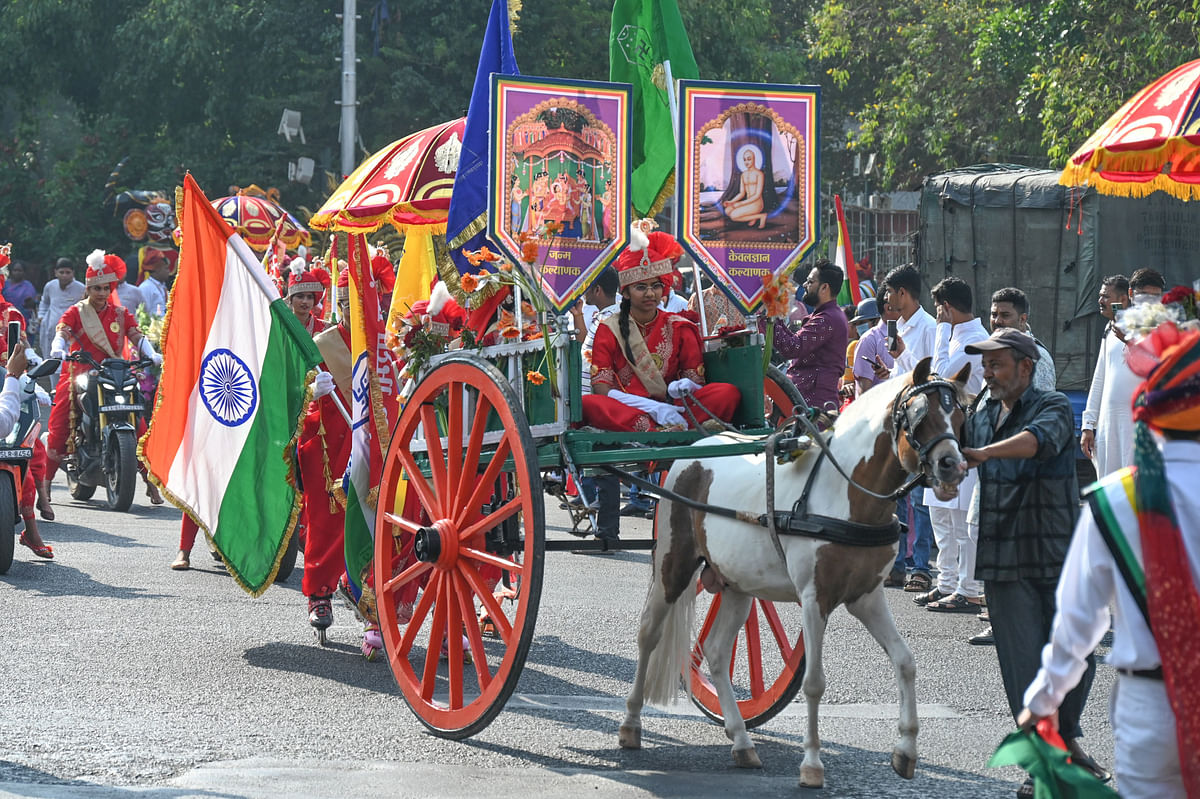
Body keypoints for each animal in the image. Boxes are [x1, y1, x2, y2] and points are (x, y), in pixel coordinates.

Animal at [624, 357, 969, 787]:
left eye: (961, 414)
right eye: (919, 416)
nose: (953, 466)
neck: (845, 494)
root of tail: (696, 450)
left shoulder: (867, 597)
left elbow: (905, 661)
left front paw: (905, 750)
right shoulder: (814, 599)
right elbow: (815, 682)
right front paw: (812, 764)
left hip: (736, 583)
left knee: (717, 653)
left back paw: (742, 741)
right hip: (673, 566)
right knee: (649, 633)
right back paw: (631, 724)